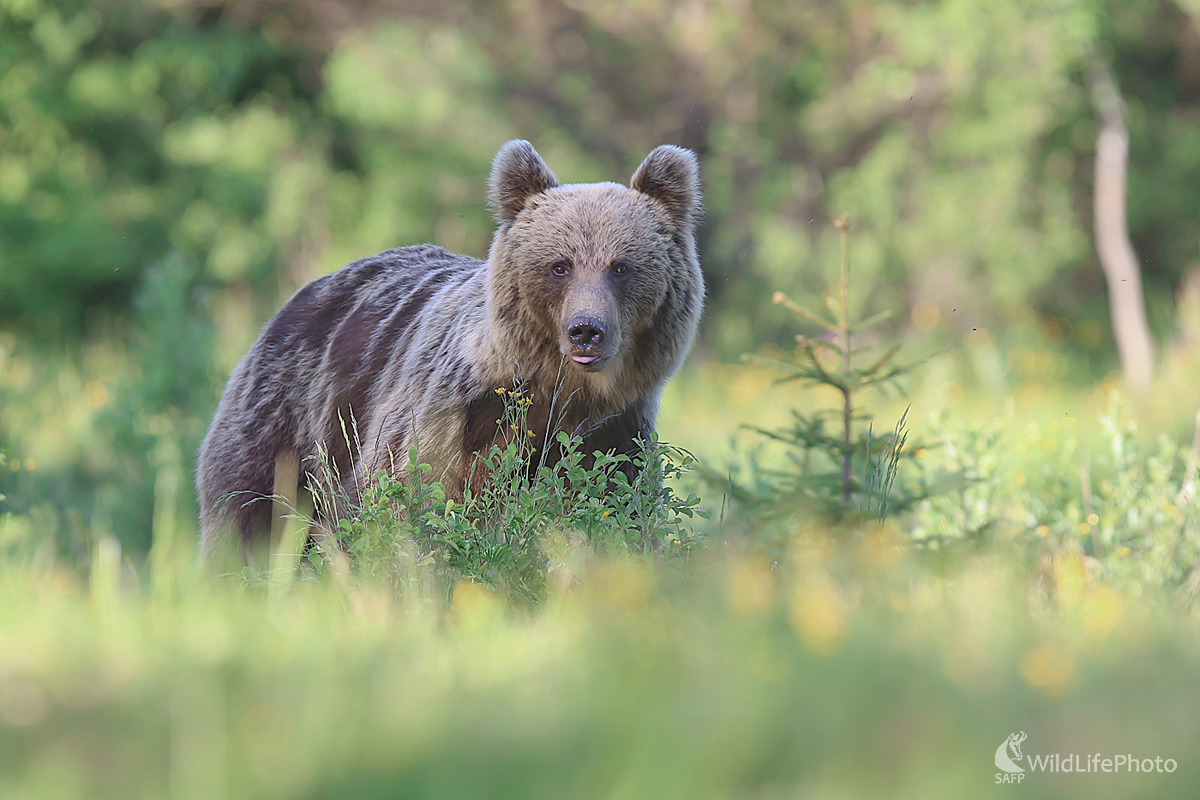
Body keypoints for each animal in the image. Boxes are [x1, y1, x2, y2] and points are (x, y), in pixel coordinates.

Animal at [195, 140, 700, 561]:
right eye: (560, 266)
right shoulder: (449, 419)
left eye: (621, 267)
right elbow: (397, 502)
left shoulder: (614, 437)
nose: (586, 331)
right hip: (288, 412)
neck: (557, 393)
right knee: (246, 507)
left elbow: (620, 516)